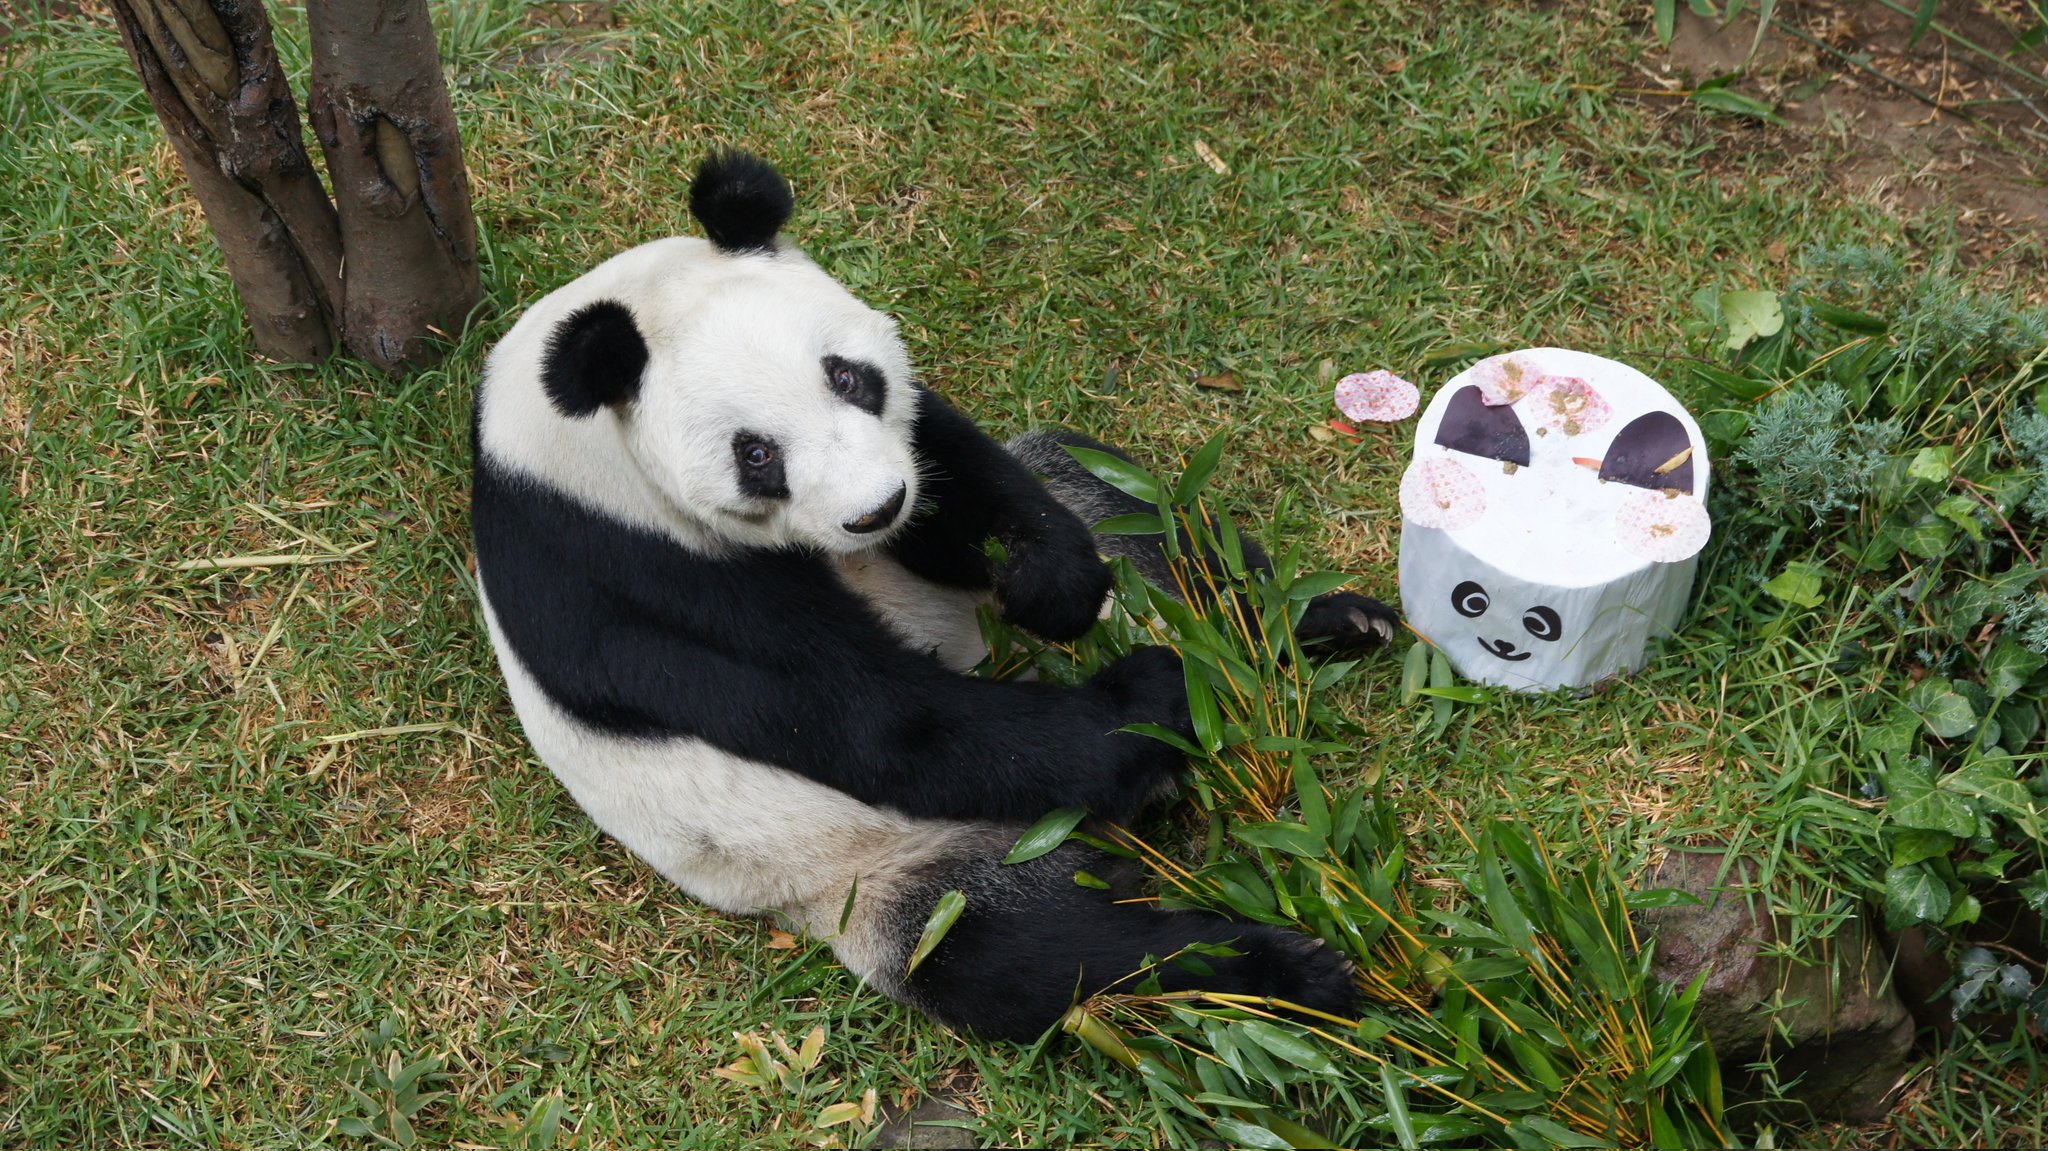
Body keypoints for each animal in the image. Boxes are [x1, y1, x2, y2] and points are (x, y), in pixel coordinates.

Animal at [472, 152, 1399, 1041]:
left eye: (848, 377)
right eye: (756, 454)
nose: (876, 509)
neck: (571, 435)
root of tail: (1090, 835)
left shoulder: (918, 468)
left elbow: (960, 462)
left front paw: (1055, 587)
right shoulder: (626, 569)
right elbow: (870, 715)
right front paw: (1148, 696)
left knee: (1127, 511)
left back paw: (1311, 624)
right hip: (890, 868)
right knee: (1037, 957)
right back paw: (1284, 966)